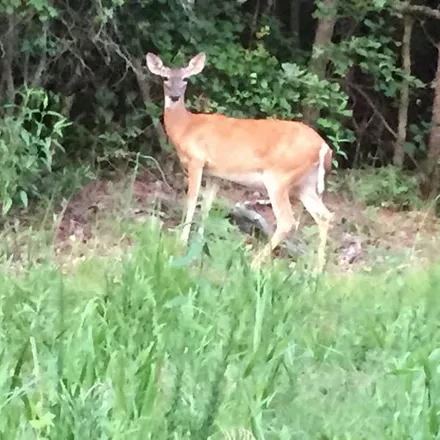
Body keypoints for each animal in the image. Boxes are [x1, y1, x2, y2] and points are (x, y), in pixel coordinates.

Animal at [146, 51, 336, 272]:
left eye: (185, 79)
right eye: (165, 78)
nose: (175, 96)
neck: (186, 128)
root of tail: (324, 147)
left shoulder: (196, 161)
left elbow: (191, 201)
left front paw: (182, 242)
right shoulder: (215, 173)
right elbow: (207, 206)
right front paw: (198, 244)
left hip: (279, 177)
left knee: (287, 221)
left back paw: (254, 263)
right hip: (305, 184)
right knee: (324, 216)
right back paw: (317, 270)